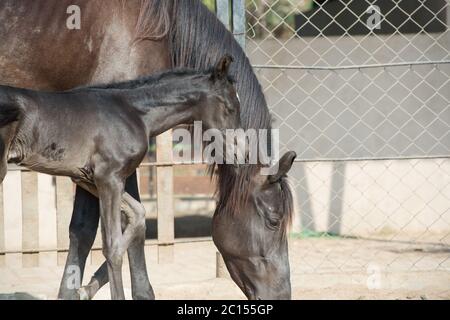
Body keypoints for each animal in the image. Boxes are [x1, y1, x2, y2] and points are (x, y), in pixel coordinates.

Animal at [0, 55, 243, 300]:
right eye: (231, 107)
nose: (242, 152)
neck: (133, 113)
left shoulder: (88, 179)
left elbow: (138, 215)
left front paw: (84, 290)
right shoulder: (110, 178)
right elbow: (113, 246)